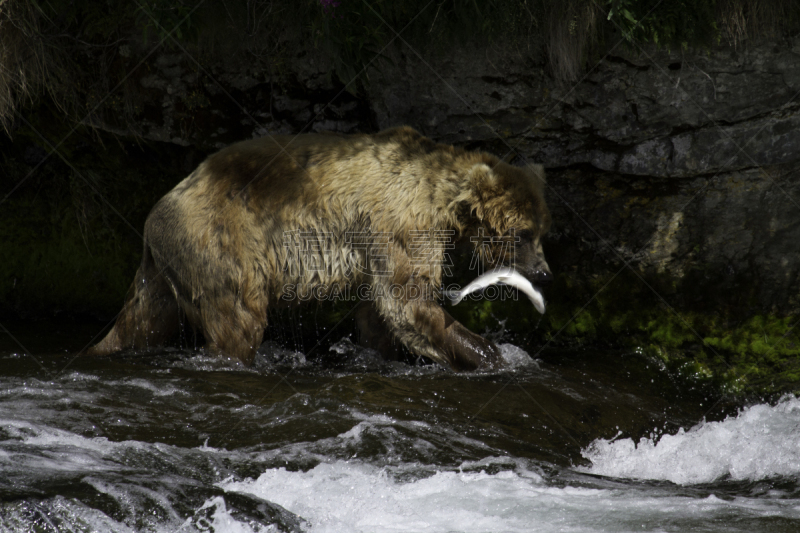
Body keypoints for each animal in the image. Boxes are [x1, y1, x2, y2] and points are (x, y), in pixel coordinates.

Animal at [87, 127, 552, 372]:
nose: (544, 271)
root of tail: (162, 206)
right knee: (239, 317)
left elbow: (379, 314)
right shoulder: (401, 225)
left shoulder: (375, 251)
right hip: (223, 239)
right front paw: (493, 354)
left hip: (165, 267)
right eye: (524, 233)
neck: (444, 204)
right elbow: (409, 301)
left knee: (140, 321)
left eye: (541, 230)